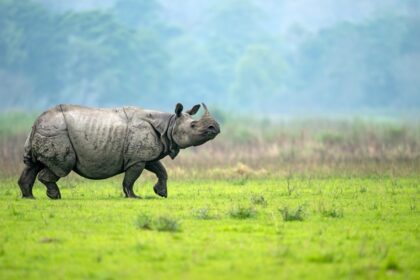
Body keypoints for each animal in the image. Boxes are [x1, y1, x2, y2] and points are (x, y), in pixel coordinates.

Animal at [17, 103, 220, 199]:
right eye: (194, 125)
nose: (215, 128)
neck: (169, 124)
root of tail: (36, 122)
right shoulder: (137, 158)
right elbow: (130, 179)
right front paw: (134, 197)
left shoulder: (146, 154)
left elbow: (161, 170)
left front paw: (161, 193)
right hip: (57, 133)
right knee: (61, 167)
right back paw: (55, 197)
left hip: (45, 131)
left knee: (33, 165)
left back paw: (29, 197)